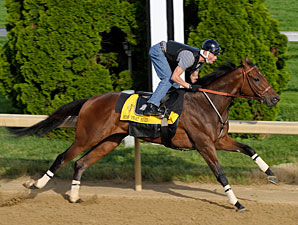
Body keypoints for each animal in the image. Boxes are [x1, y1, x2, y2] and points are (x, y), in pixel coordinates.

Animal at [8, 57, 280, 212]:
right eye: (256, 78)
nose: (275, 98)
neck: (208, 102)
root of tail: (90, 100)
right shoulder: (204, 144)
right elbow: (220, 173)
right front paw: (237, 203)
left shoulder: (218, 140)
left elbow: (249, 149)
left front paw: (271, 174)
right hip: (87, 136)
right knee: (62, 158)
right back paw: (35, 184)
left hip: (110, 140)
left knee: (80, 163)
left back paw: (74, 197)